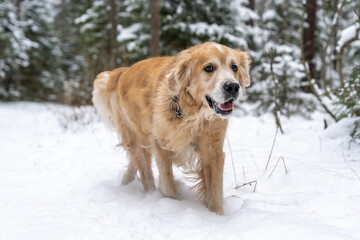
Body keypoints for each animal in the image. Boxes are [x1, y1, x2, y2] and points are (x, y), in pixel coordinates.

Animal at [93, 41, 250, 214]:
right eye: (209, 68)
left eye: (234, 67)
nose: (233, 87)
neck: (192, 113)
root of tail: (124, 71)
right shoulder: (161, 145)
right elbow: (168, 184)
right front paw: (171, 202)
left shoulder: (212, 151)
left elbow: (215, 191)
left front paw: (216, 215)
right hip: (138, 136)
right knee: (145, 171)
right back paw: (149, 194)